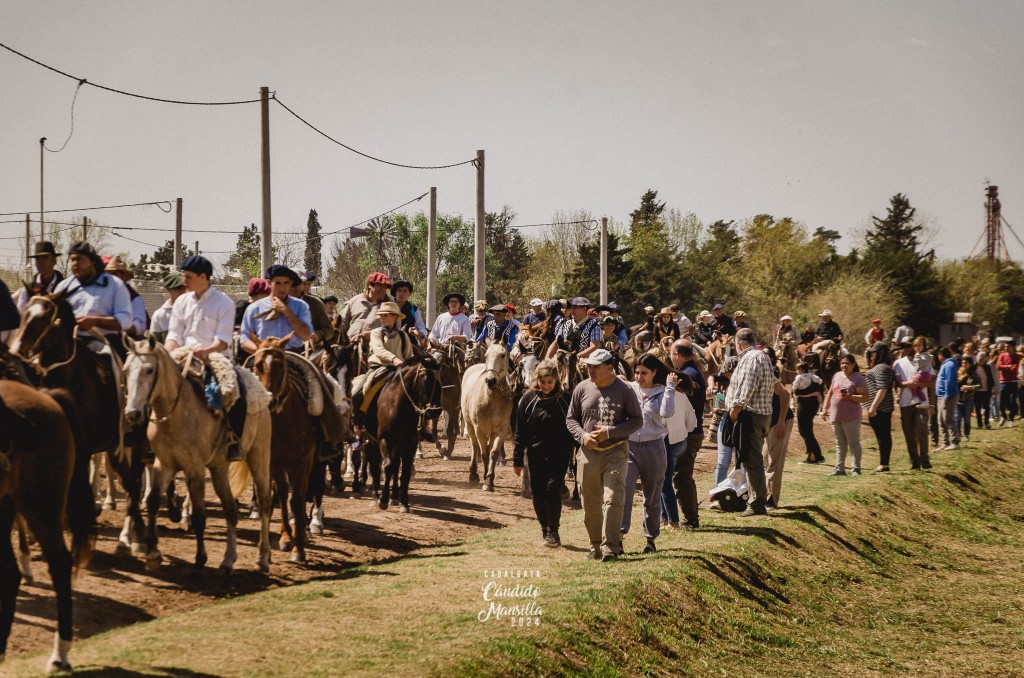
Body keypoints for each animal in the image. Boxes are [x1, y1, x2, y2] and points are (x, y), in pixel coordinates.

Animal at [0, 383, 83, 675]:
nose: (30, 430)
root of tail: (45, 396)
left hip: (42, 508)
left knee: (59, 564)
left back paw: (60, 654)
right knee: (10, 574)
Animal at [9, 290, 142, 557]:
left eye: (44, 319)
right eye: (24, 313)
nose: (17, 351)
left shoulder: (83, 451)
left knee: (136, 485)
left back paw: (128, 539)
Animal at [121, 337, 274, 577]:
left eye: (149, 370)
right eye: (126, 370)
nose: (132, 413)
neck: (175, 413)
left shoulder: (195, 469)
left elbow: (199, 516)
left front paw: (200, 559)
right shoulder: (164, 464)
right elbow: (153, 501)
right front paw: (153, 554)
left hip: (259, 456)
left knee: (265, 502)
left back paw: (263, 558)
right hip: (219, 467)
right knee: (230, 509)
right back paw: (228, 560)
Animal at [251, 333, 319, 561]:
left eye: (280, 364)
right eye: (257, 365)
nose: (270, 401)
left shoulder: (301, 463)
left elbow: (296, 501)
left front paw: (299, 549)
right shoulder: (273, 463)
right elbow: (280, 496)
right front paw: (286, 538)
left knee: (301, 492)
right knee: (281, 494)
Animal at [462, 346, 512, 493]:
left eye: (503, 355)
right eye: (486, 355)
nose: (490, 380)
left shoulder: (502, 429)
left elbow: (493, 453)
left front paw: (489, 480)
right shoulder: (479, 429)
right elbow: (483, 453)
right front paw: (485, 478)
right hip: (469, 425)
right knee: (475, 446)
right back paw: (473, 475)